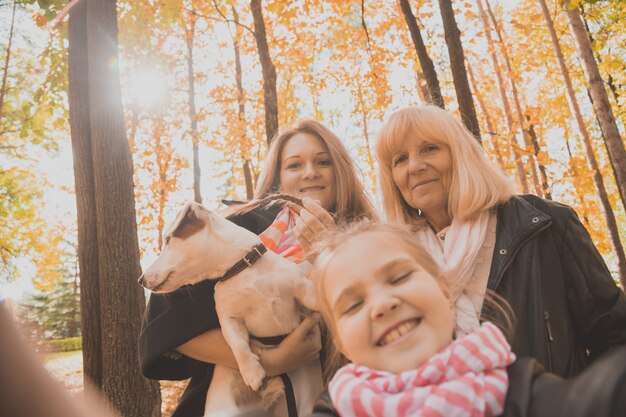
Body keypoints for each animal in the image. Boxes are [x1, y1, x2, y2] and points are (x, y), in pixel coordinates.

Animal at [138, 201, 320, 412]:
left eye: (167, 240)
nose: (141, 280)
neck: (243, 268)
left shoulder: (302, 289)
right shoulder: (229, 318)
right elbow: (238, 345)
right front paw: (252, 373)